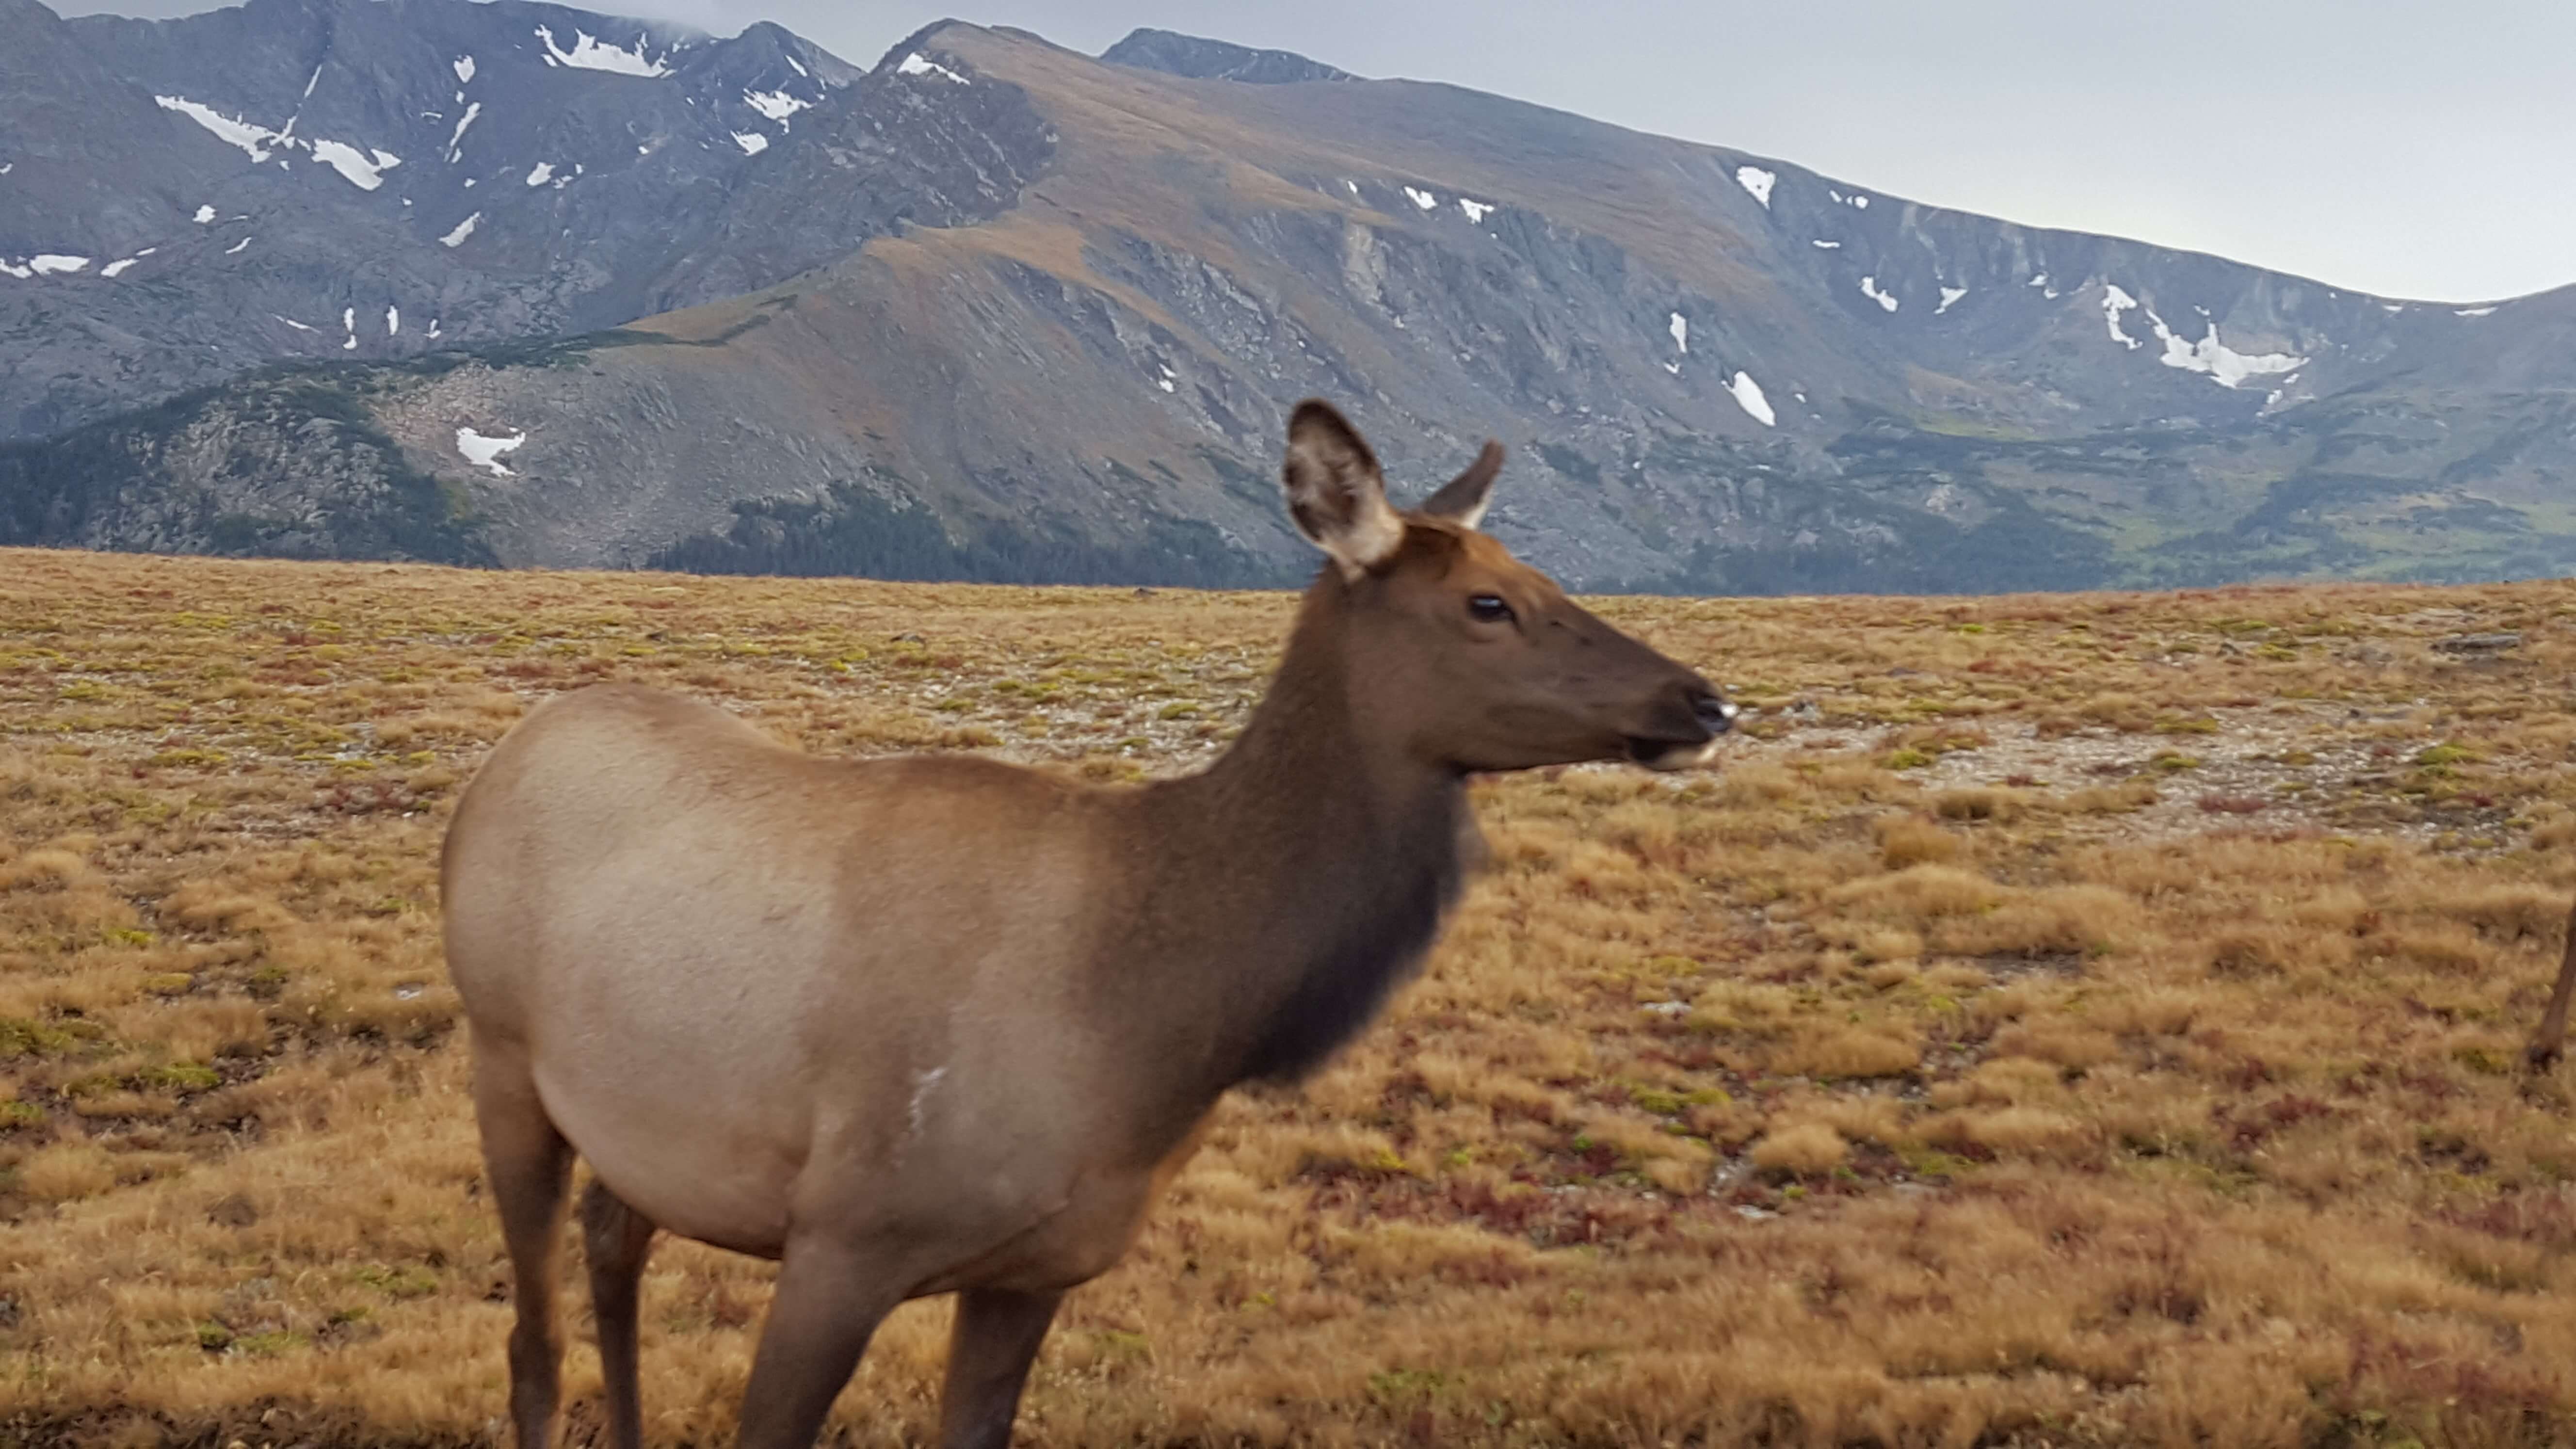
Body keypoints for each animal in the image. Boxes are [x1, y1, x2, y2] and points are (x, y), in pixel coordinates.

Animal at [439, 399, 1738, 1449]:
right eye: (1487, 601)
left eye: (1541, 572)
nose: (1702, 700)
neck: (1146, 1027)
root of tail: (510, 753)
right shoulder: (845, 1232)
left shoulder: (1037, 1269)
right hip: (502, 1056)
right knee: (531, 1343)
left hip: (640, 1122)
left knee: (615, 1245)